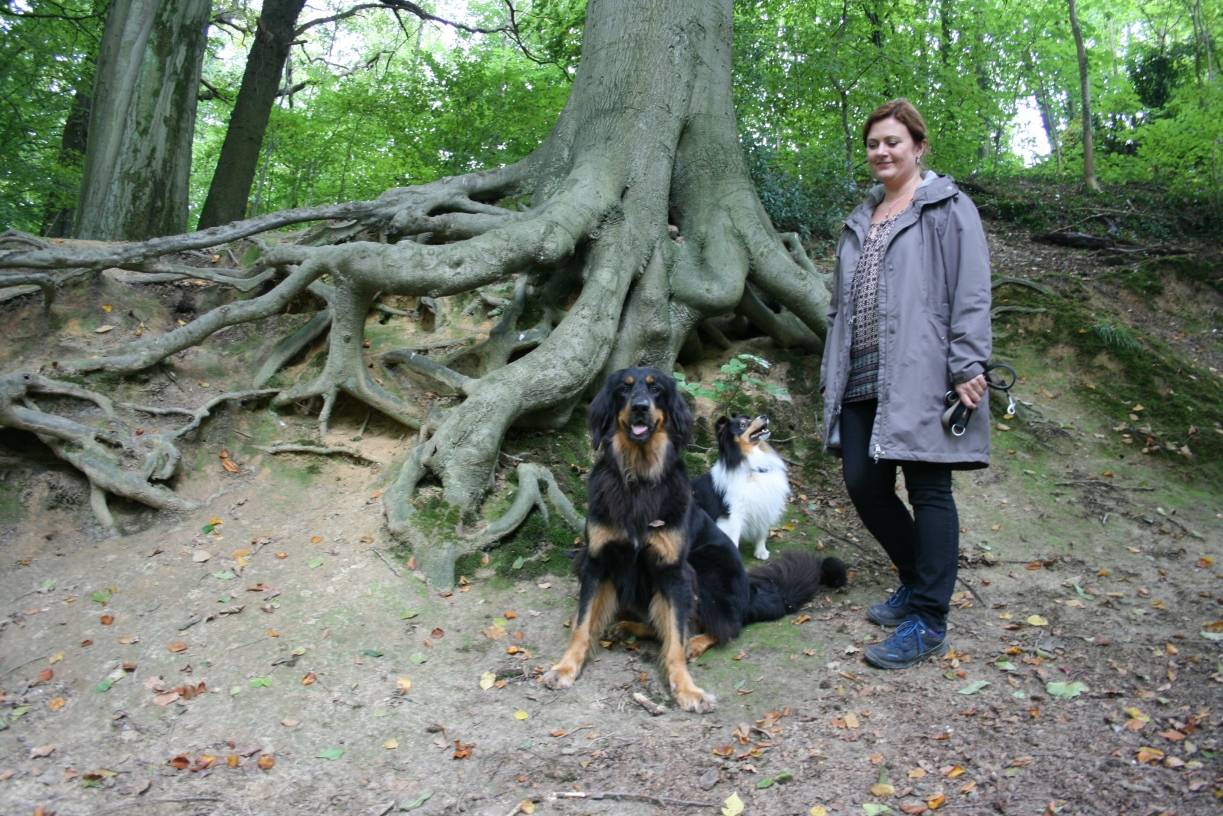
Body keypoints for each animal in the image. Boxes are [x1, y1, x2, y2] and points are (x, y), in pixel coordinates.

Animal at [540, 367, 846, 709]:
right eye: (624, 389)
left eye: (656, 389)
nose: (640, 407)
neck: (639, 478)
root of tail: (750, 593)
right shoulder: (596, 560)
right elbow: (582, 625)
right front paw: (566, 667)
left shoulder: (675, 571)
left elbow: (675, 636)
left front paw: (686, 687)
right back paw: (629, 627)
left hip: (707, 563)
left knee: (726, 627)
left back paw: (695, 643)